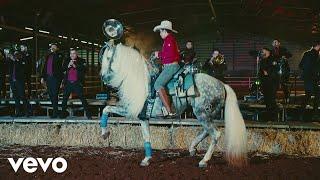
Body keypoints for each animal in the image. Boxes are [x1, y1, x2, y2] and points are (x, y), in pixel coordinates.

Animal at [99, 40, 248, 167]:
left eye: (108, 58)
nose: (103, 78)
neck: (140, 80)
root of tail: (221, 84)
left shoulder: (131, 110)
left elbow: (107, 108)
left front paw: (104, 133)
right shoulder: (142, 116)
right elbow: (146, 137)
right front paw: (146, 159)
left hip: (201, 112)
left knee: (215, 133)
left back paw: (204, 160)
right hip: (208, 113)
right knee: (207, 130)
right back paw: (192, 148)